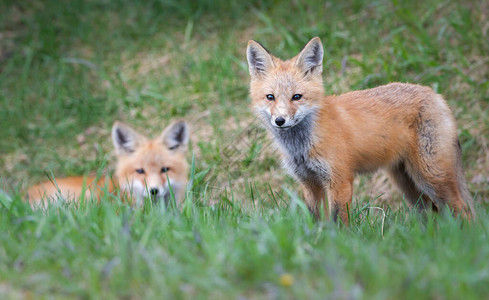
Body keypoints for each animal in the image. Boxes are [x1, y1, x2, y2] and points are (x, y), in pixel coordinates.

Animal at [246, 37, 474, 223]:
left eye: (297, 97)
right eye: (270, 97)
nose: (280, 120)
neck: (301, 147)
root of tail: (434, 94)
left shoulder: (340, 180)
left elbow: (338, 222)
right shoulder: (309, 183)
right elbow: (317, 221)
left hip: (431, 176)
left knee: (462, 208)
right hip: (407, 183)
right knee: (431, 213)